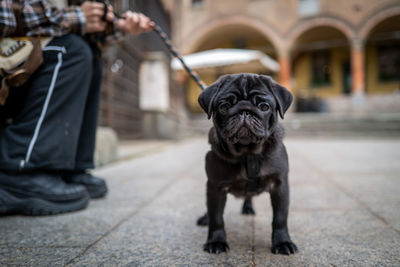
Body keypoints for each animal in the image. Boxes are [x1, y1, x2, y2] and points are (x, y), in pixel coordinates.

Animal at [197, 73, 296, 255]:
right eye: (224, 106)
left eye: (264, 107)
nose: (244, 111)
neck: (247, 153)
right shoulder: (215, 187)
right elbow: (216, 217)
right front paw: (216, 241)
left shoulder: (280, 185)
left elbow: (280, 217)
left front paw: (282, 242)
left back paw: (248, 208)